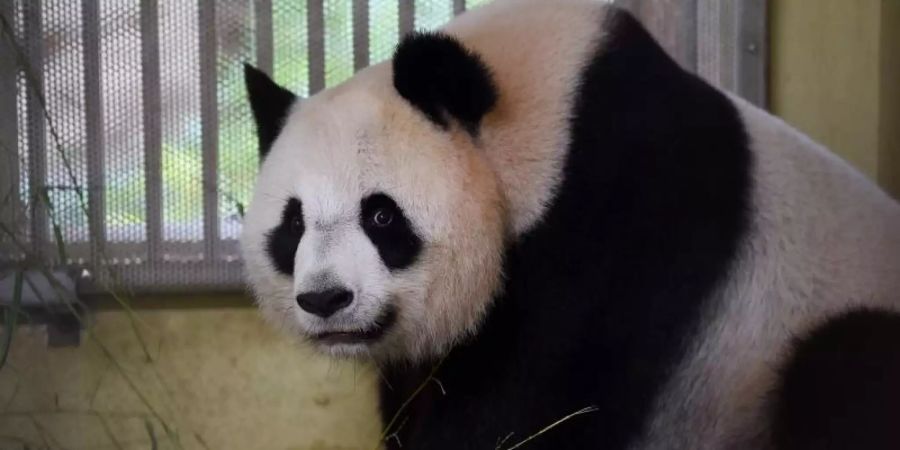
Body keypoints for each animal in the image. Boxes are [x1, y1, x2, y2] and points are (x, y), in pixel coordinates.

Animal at [239, 1, 900, 448]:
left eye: (380, 215)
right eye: (292, 226)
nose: (326, 299)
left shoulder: (622, 208)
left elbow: (528, 398)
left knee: (846, 364)